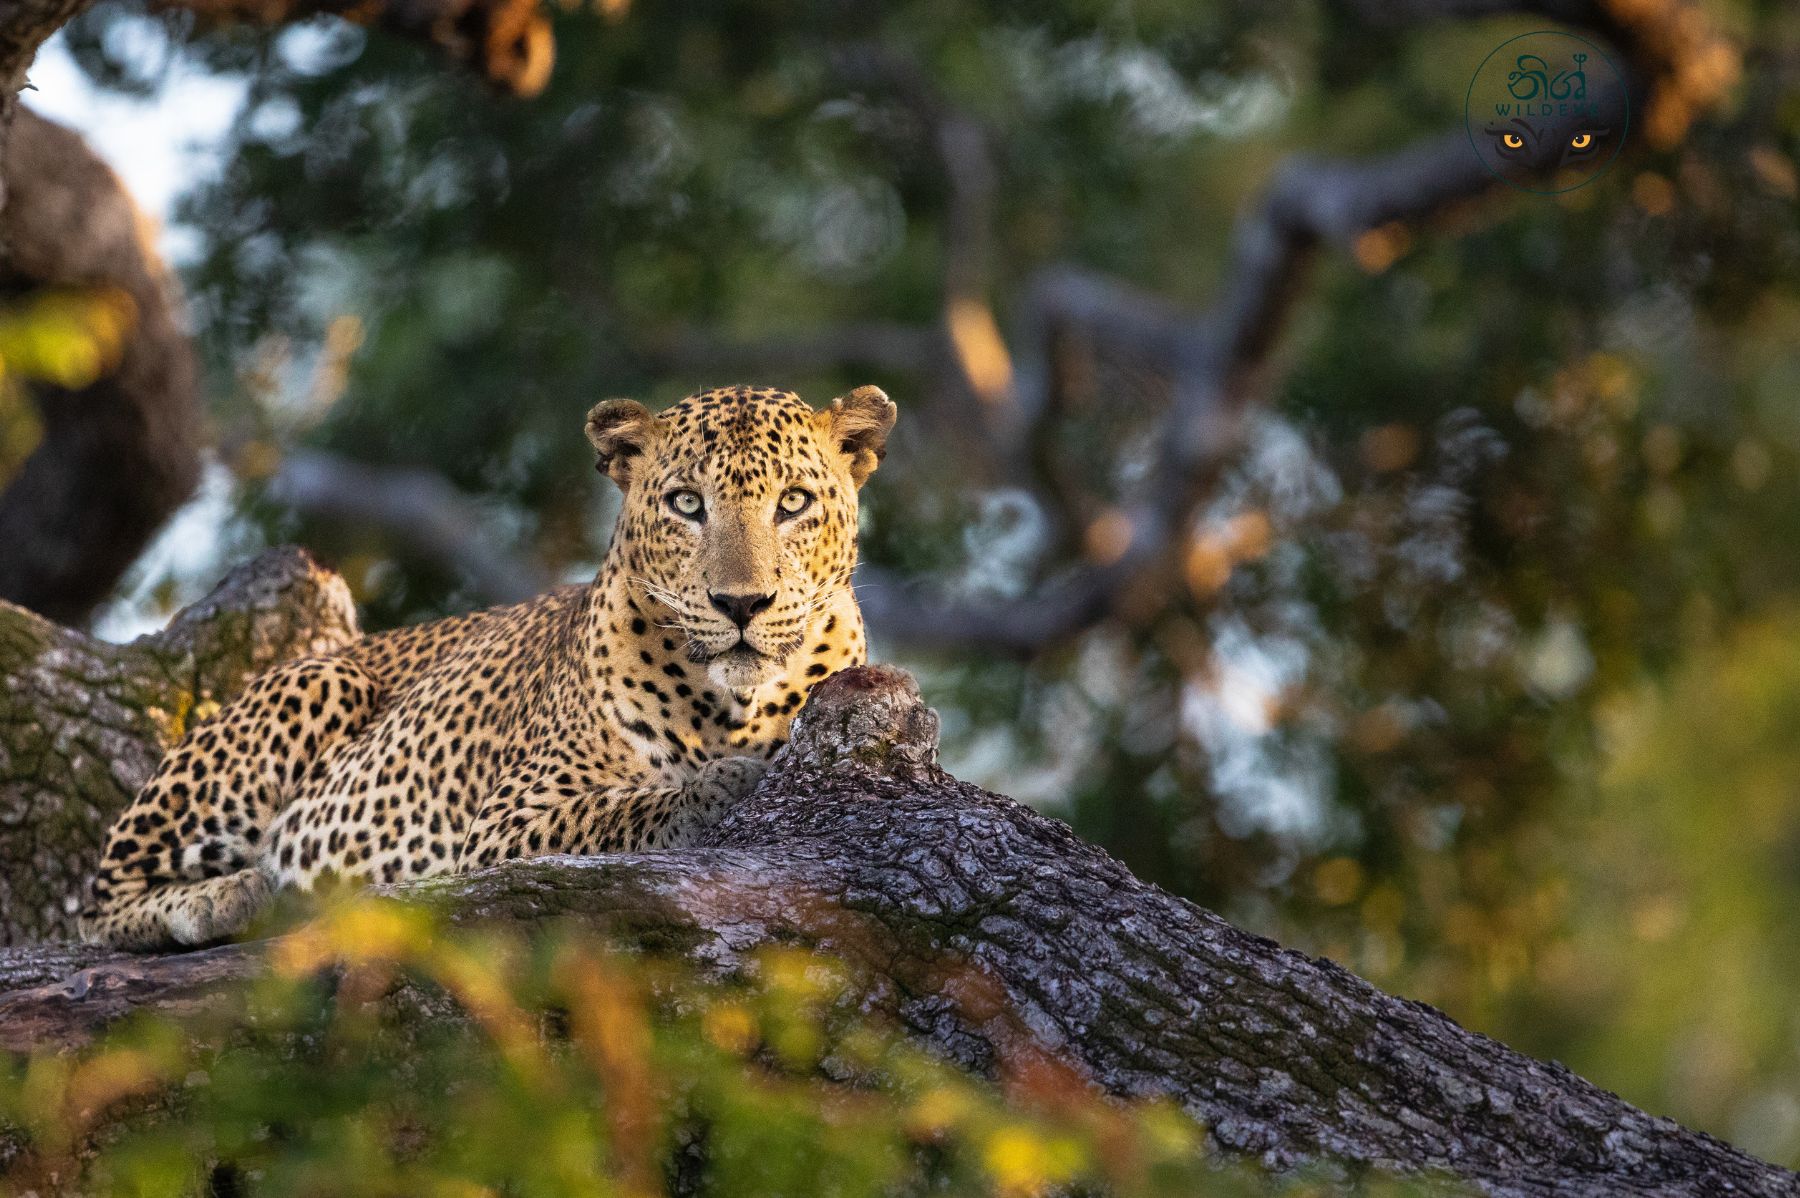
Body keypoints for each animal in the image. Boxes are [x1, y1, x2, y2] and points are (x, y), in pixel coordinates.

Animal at [79, 384, 897, 950]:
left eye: (794, 503)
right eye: (687, 504)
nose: (742, 603)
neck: (732, 707)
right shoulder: (508, 823)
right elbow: (620, 809)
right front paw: (715, 787)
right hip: (314, 684)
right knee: (100, 898)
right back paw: (224, 897)